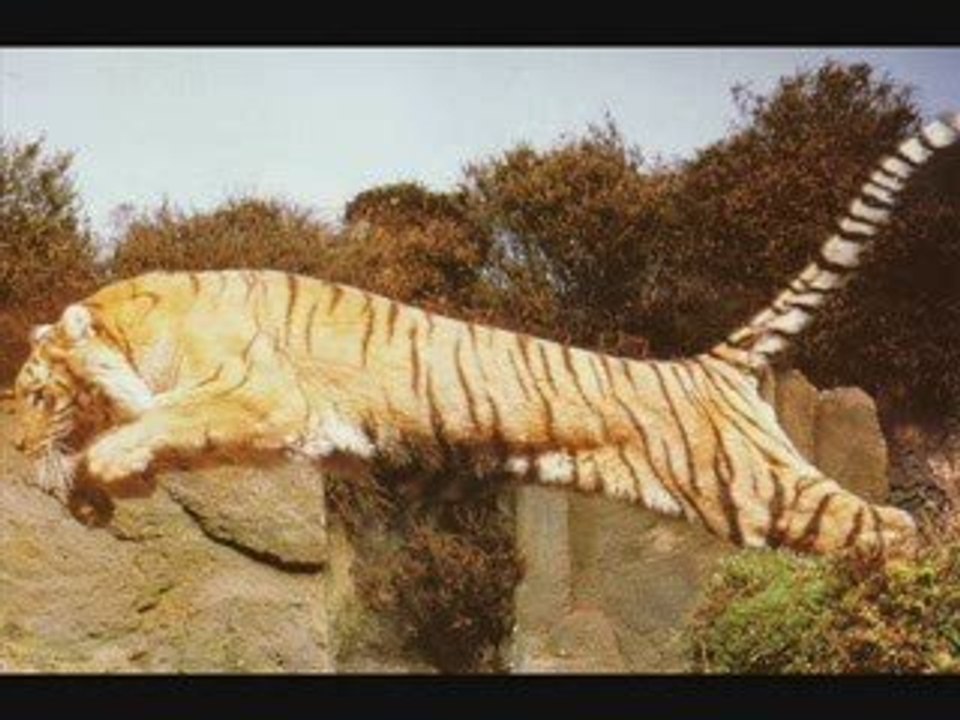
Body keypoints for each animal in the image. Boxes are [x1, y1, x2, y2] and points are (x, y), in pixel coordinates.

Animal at [10, 113, 960, 556]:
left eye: (35, 394)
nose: (14, 448)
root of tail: (707, 364)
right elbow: (161, 437)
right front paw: (96, 491)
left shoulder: (259, 395)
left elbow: (162, 422)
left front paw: (97, 468)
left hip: (758, 492)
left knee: (894, 527)